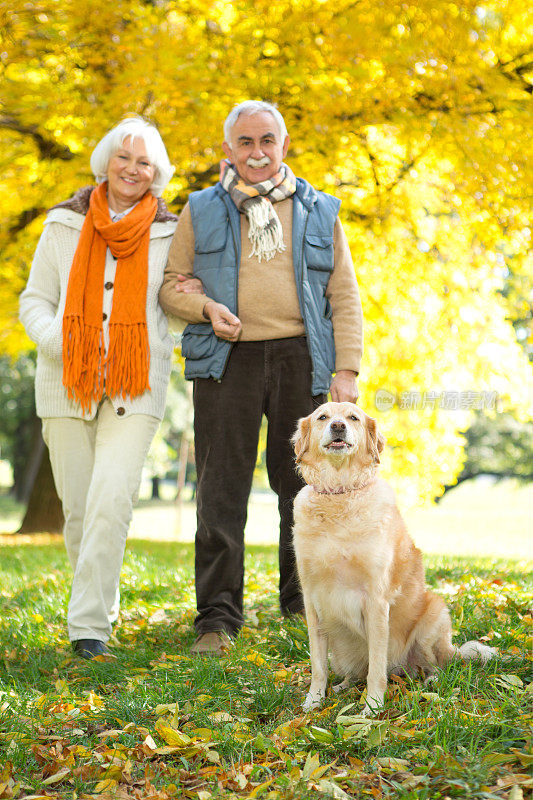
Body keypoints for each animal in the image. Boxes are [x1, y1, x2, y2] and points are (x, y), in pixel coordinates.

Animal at [290, 404, 494, 716]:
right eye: (322, 417)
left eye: (353, 418)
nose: (338, 426)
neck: (340, 493)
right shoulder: (312, 600)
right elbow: (318, 664)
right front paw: (314, 700)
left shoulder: (375, 600)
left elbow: (376, 666)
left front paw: (372, 709)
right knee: (355, 673)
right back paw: (341, 686)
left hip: (433, 615)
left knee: (433, 666)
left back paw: (430, 683)